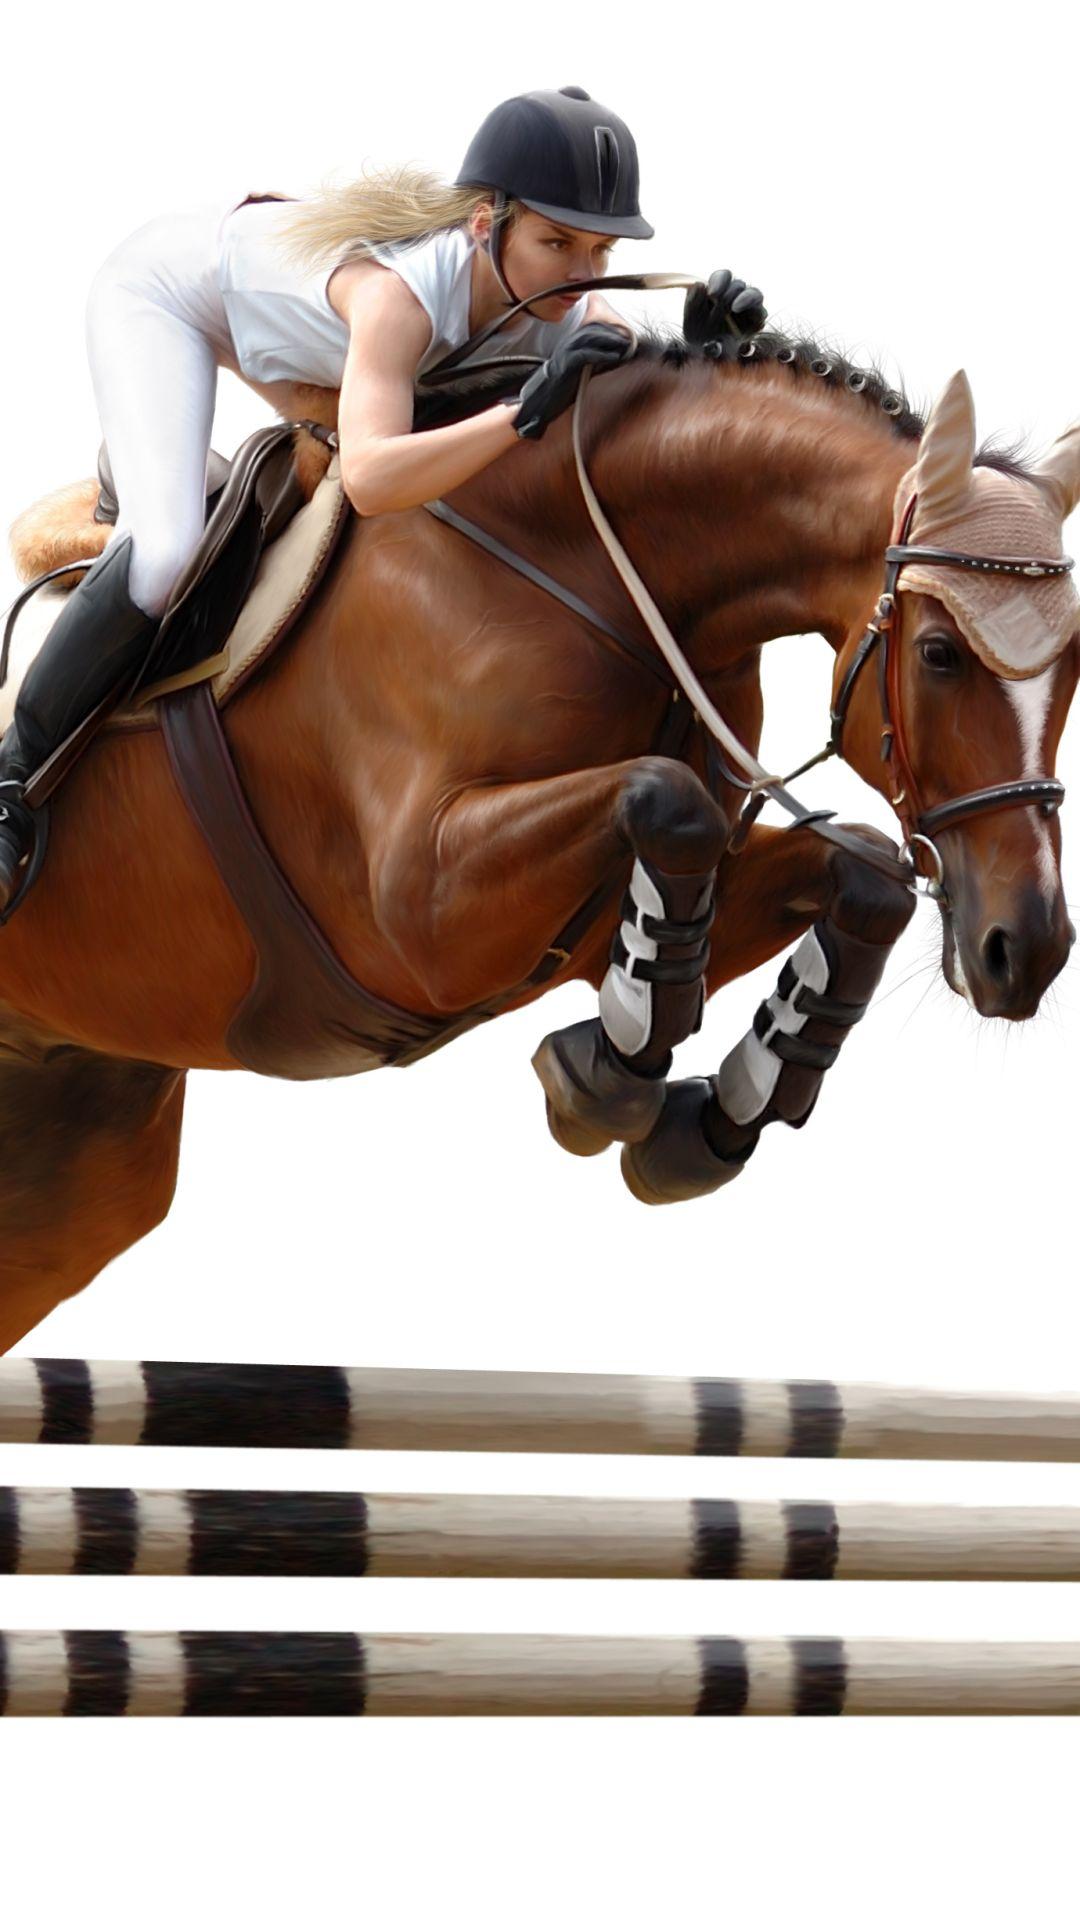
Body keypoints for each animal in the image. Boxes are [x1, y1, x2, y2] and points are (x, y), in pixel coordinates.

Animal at [0, 322, 1076, 1348]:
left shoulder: (588, 921)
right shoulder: (417, 917)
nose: (1025, 950)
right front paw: (615, 1075)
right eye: (939, 653)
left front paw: (713, 1109)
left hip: (78, 1165)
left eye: (1072, 667)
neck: (583, 567)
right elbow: (666, 799)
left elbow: (866, 876)